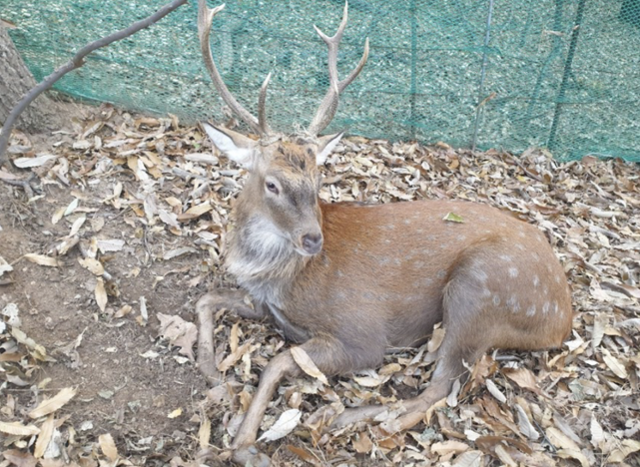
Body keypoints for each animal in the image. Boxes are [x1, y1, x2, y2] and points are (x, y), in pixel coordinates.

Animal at [194, 1, 568, 466]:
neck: (280, 278)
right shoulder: (266, 305)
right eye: (272, 184)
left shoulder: (361, 334)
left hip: (483, 288)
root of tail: (563, 317)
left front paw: (246, 443)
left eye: (319, 179)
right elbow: (206, 298)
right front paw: (212, 373)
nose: (313, 240)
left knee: (439, 389)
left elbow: (278, 362)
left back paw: (348, 417)